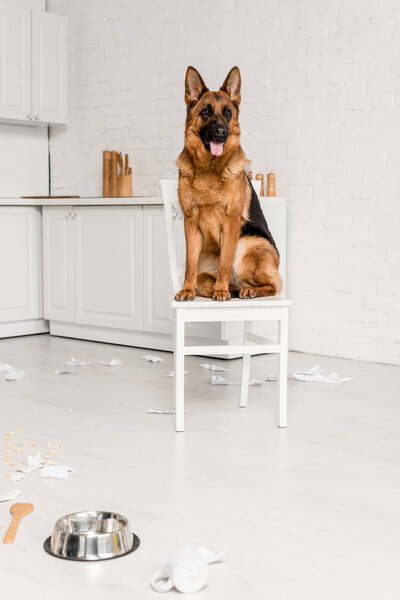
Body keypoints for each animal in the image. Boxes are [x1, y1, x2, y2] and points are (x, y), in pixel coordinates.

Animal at [175, 66, 282, 302]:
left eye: (227, 113)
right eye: (206, 111)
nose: (221, 132)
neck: (209, 169)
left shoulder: (231, 222)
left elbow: (224, 262)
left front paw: (222, 291)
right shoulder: (190, 224)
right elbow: (189, 264)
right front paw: (187, 289)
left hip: (245, 244)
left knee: (275, 286)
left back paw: (246, 290)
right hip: (207, 268)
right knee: (204, 278)